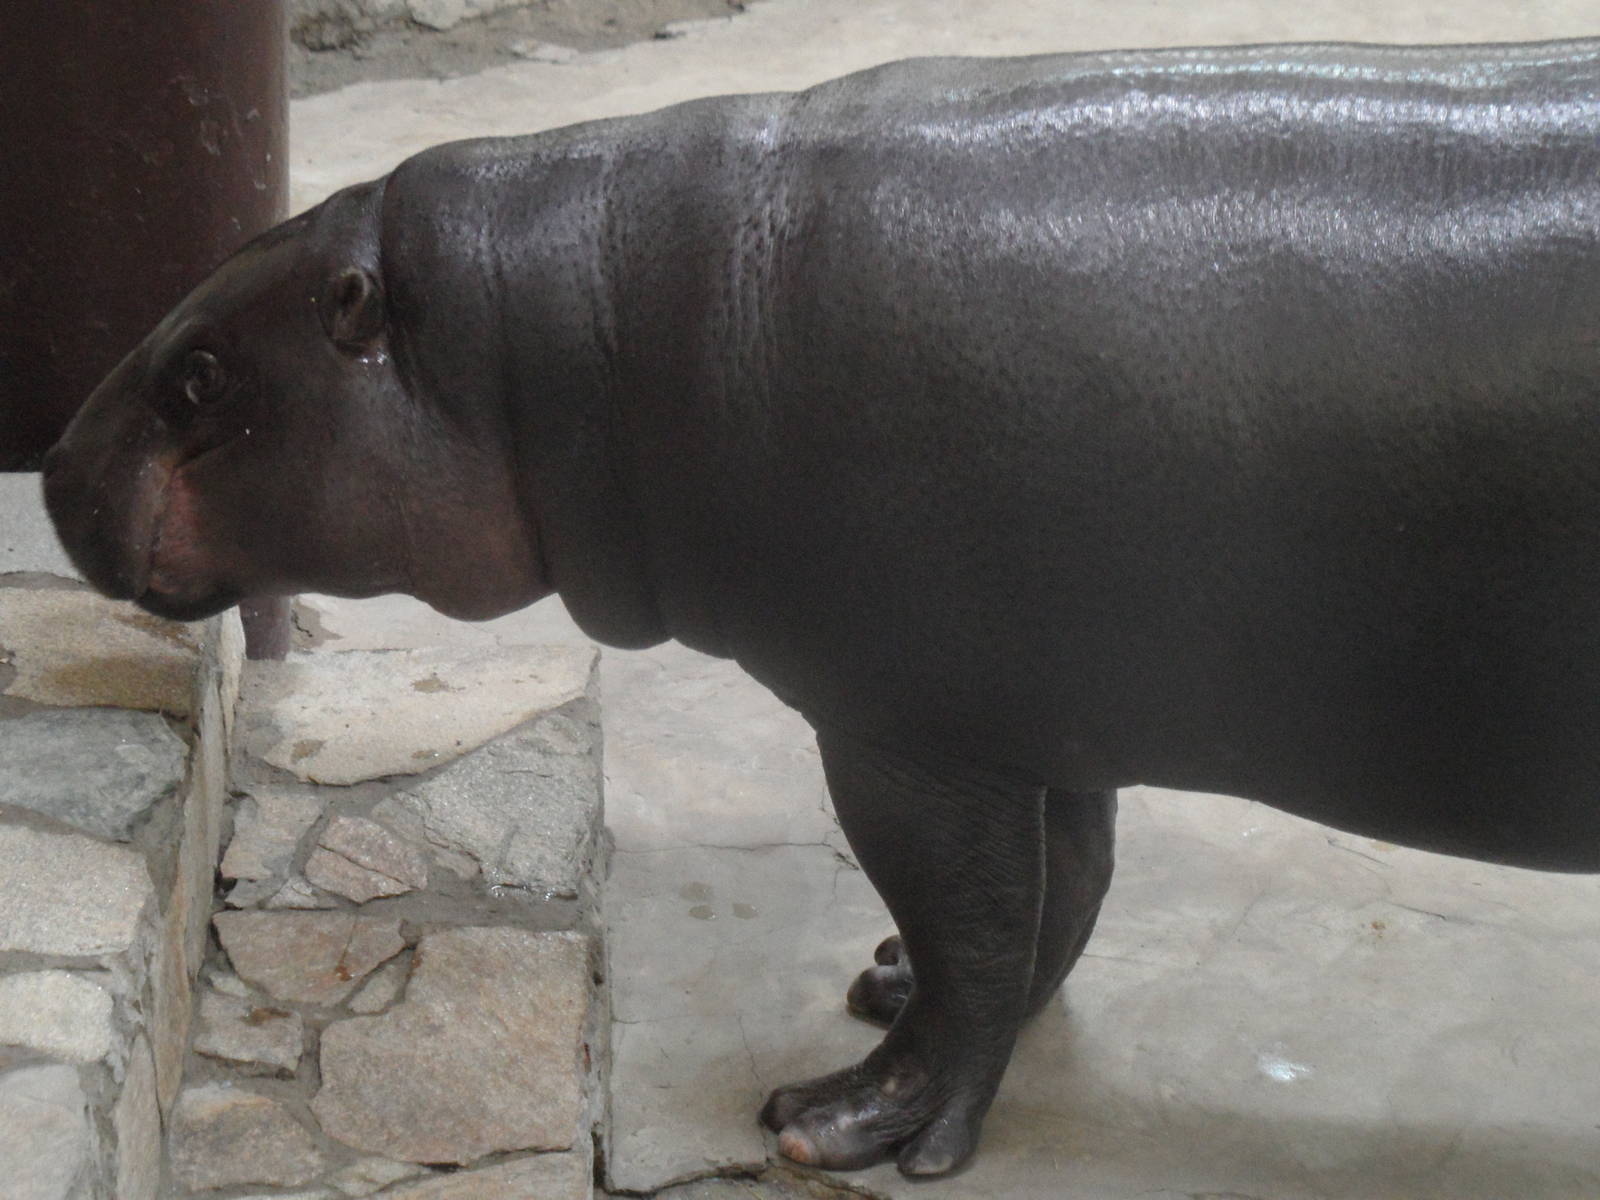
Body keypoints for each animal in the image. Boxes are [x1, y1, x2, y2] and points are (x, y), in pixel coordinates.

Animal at [43, 38, 1600, 1178]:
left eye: (199, 375)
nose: (51, 474)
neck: (555, 335)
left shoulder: (907, 725)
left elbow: (975, 922)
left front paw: (841, 1125)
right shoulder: (1038, 704)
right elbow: (1053, 896)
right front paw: (887, 987)